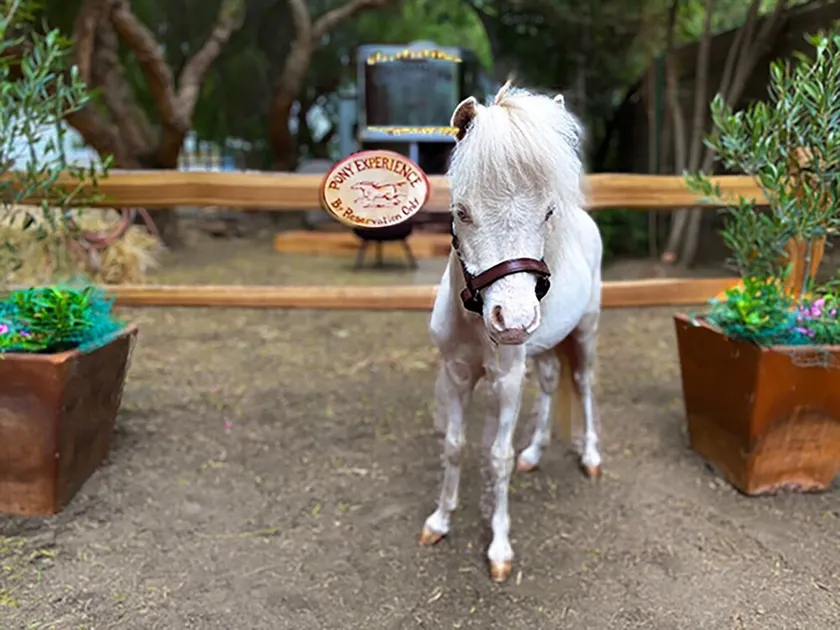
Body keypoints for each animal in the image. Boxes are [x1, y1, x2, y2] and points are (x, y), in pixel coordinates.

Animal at [419, 82, 603, 583]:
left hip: (584, 332)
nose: (514, 321)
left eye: (547, 212)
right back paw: (534, 453)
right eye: (461, 212)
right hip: (543, 347)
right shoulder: (458, 375)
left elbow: (496, 458)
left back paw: (591, 458)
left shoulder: (505, 383)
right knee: (551, 382)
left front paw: (499, 548)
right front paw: (440, 521)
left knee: (581, 384)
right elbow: (455, 446)